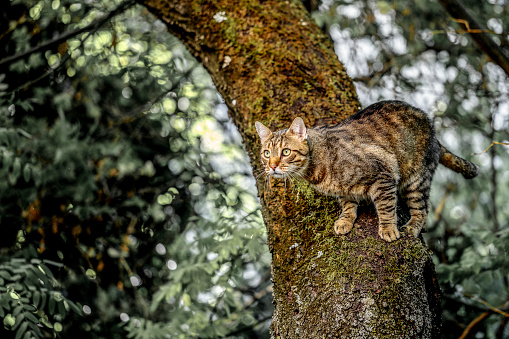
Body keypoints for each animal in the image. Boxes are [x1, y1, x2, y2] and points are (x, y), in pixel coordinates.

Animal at [256, 99, 478, 243]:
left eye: (285, 152)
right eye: (266, 153)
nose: (272, 166)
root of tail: (435, 136)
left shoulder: (383, 175)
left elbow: (386, 207)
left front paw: (388, 228)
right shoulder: (342, 190)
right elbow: (347, 204)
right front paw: (345, 220)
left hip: (416, 180)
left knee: (422, 209)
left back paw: (413, 226)